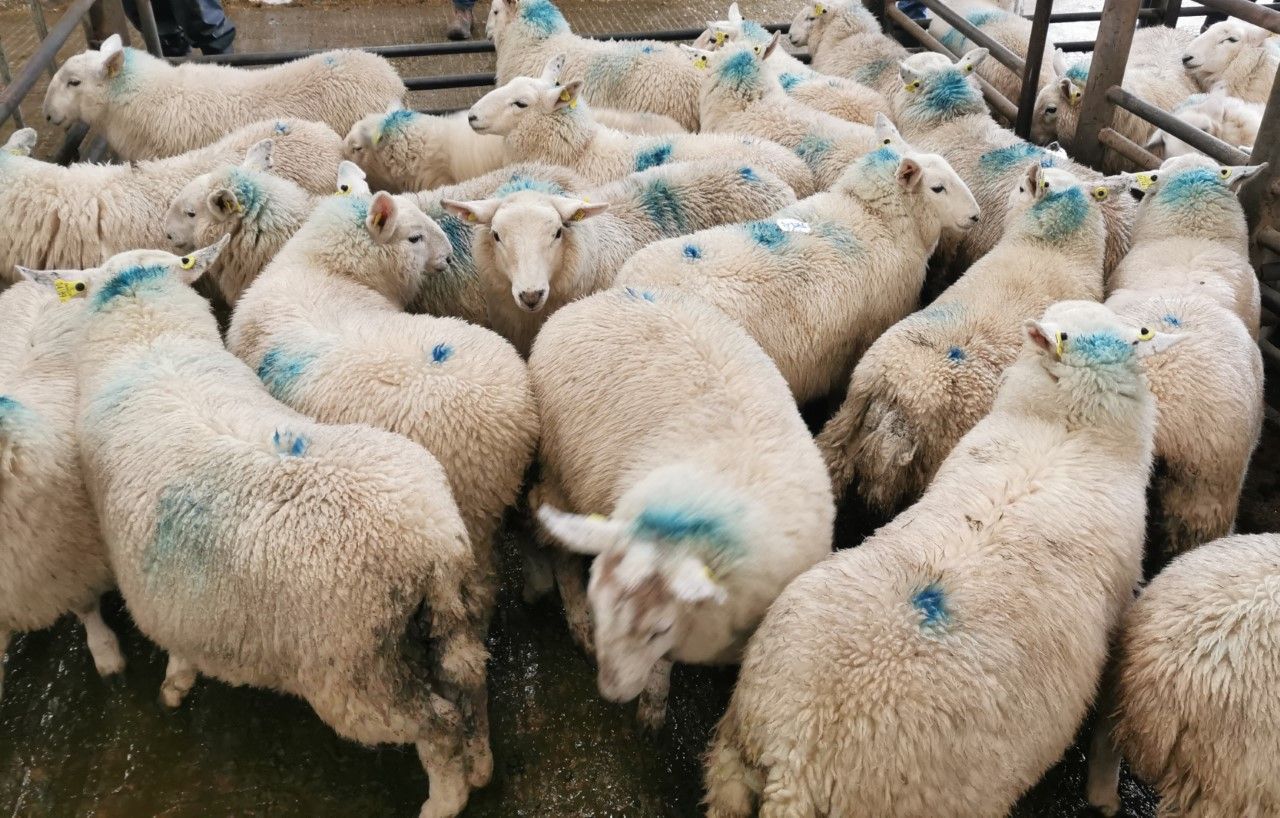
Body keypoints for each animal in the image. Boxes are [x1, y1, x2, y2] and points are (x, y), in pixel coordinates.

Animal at [38, 238, 483, 818]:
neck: (150, 344)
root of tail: (433, 545)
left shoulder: (166, 600)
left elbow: (179, 652)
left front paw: (174, 687)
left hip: (355, 670)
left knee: (438, 724)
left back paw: (443, 801)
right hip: (442, 622)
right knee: (468, 685)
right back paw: (480, 766)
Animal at [530, 286, 834, 728]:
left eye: (659, 629)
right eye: (600, 604)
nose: (612, 693)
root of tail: (597, 296)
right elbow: (663, 666)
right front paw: (653, 704)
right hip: (559, 471)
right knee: (555, 545)